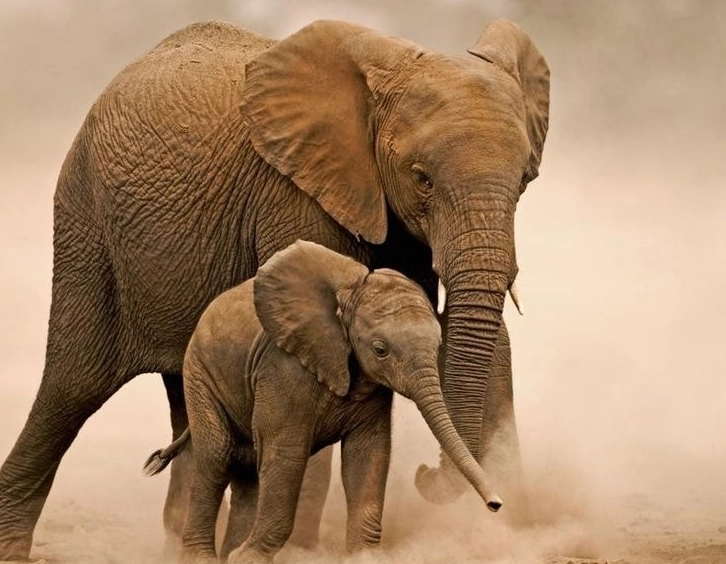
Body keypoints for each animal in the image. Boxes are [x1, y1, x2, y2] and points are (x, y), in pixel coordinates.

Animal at [144, 241, 502, 563]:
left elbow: (368, 455)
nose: (496, 505)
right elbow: (286, 455)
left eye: (439, 344)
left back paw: (229, 551)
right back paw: (203, 558)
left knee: (246, 468)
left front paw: (365, 558)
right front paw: (248, 558)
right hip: (199, 373)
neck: (348, 299)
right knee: (217, 457)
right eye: (380, 350)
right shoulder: (284, 368)